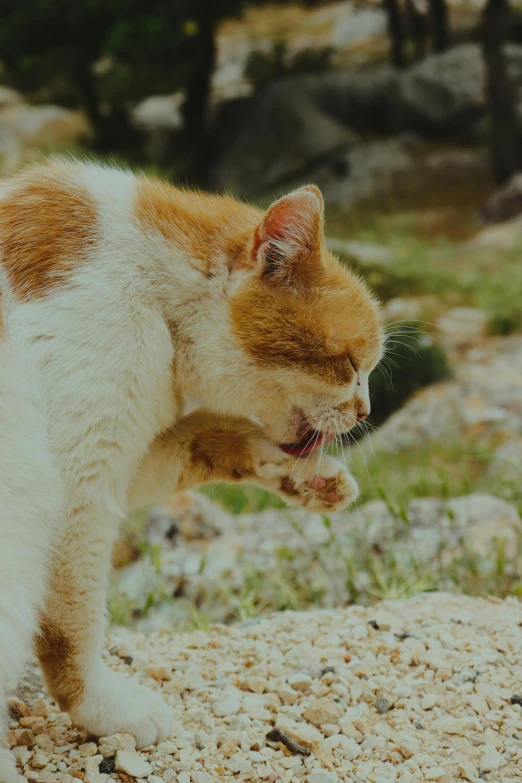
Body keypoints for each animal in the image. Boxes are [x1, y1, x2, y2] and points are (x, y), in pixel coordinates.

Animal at [0, 161, 382, 783]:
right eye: (349, 364)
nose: (367, 411)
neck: (150, 287)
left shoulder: (125, 461)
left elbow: (208, 434)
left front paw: (306, 479)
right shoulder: (79, 487)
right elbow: (71, 628)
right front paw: (105, 708)